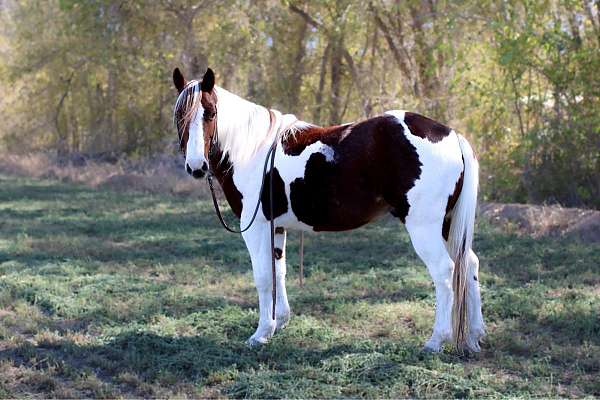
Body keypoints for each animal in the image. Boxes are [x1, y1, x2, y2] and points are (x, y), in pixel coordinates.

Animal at [171, 67, 486, 352]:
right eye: (179, 115)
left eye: (211, 113)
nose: (197, 166)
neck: (251, 150)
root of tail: (451, 135)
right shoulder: (277, 226)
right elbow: (278, 272)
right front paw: (279, 322)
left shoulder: (256, 227)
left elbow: (262, 277)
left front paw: (261, 334)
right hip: (447, 224)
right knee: (469, 264)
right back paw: (475, 335)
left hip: (425, 227)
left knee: (444, 271)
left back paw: (436, 341)